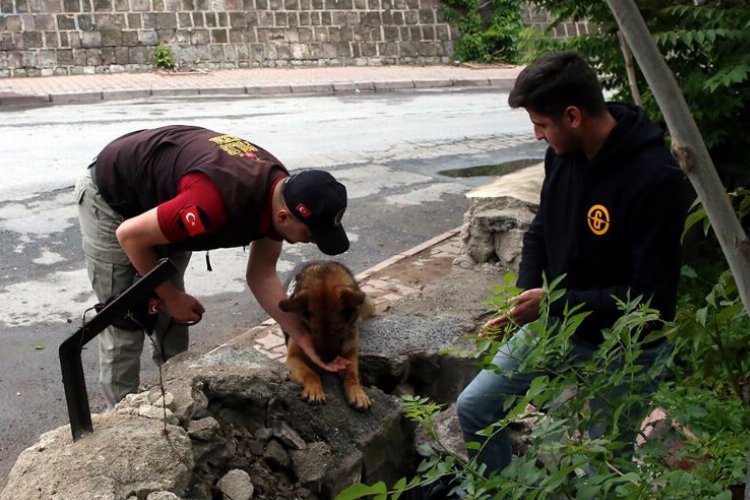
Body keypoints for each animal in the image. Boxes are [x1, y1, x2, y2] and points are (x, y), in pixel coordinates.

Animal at [278, 262, 374, 410]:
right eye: (314, 330)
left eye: (339, 329)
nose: (327, 360)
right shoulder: (293, 358)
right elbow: (310, 373)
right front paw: (314, 390)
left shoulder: (350, 353)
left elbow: (352, 375)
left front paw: (358, 393)